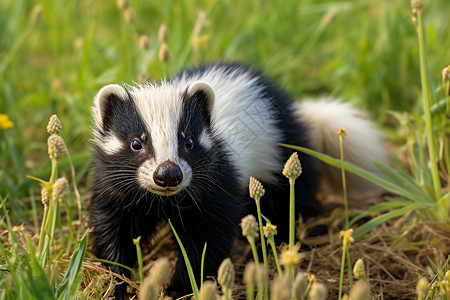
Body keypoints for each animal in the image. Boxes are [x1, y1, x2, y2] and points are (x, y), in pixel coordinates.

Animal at [89, 62, 388, 298]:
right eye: (136, 143)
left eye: (189, 142)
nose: (168, 174)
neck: (164, 200)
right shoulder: (117, 189)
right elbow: (112, 230)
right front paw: (116, 282)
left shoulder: (216, 184)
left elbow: (206, 240)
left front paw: (180, 288)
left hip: (280, 157)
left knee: (290, 203)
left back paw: (285, 243)